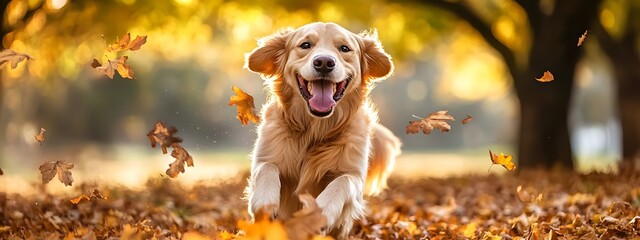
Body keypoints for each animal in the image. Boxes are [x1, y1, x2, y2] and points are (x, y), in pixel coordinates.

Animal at [244, 22, 400, 238]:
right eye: (305, 45)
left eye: (344, 48)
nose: (324, 62)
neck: (314, 131)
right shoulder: (266, 156)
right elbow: (266, 168)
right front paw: (265, 203)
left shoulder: (353, 174)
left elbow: (342, 182)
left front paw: (320, 212)